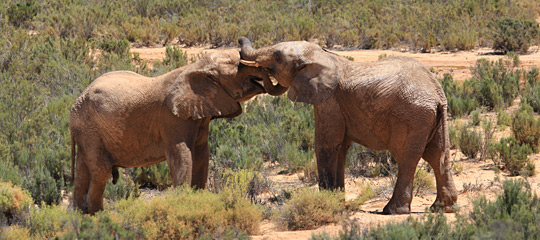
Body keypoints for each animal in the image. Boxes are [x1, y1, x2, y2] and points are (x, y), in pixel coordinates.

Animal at [70, 50, 286, 214]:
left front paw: (199, 201)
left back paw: (79, 215)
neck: (195, 67)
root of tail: (75, 104)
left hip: (85, 132)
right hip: (90, 130)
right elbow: (181, 155)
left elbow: (202, 155)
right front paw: (181, 204)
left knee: (84, 170)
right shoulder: (172, 118)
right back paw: (97, 216)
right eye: (238, 66)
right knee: (101, 171)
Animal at [238, 37, 458, 214]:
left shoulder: (329, 101)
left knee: (406, 158)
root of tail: (437, 94)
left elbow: (326, 144)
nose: (254, 71)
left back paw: (392, 210)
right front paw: (337, 201)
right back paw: (441, 209)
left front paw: (328, 203)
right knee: (438, 155)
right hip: (432, 119)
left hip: (411, 117)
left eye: (277, 57)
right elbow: (341, 148)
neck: (324, 56)